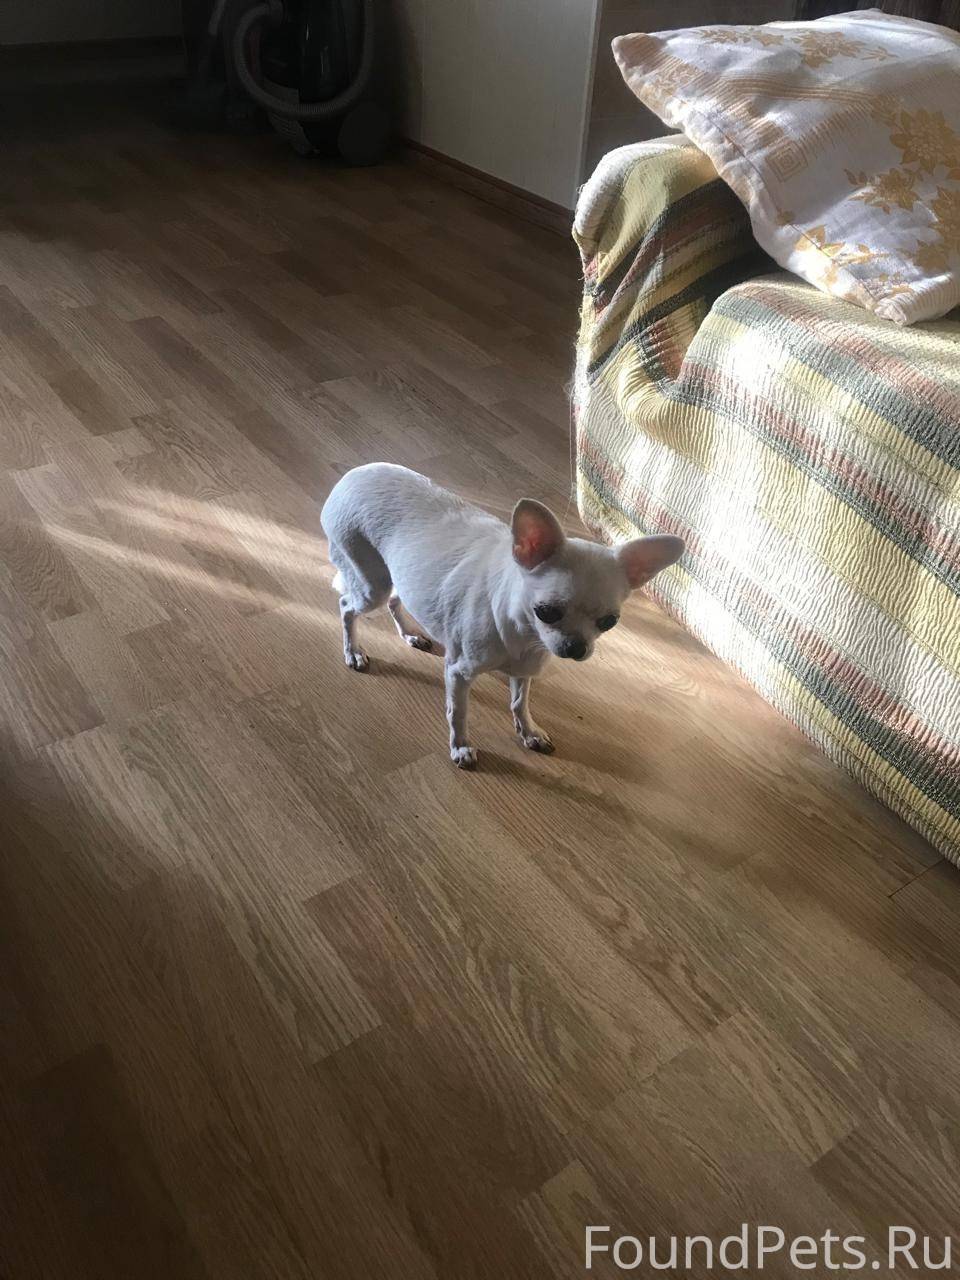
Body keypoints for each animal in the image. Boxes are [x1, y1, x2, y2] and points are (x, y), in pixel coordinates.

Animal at [321, 463, 684, 769]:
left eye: (609, 622)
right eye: (547, 612)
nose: (576, 647)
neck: (525, 637)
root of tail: (353, 474)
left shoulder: (525, 670)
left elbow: (519, 703)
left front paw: (529, 732)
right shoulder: (458, 673)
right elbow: (458, 712)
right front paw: (460, 747)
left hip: (395, 575)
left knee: (396, 599)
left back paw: (410, 633)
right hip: (371, 582)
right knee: (347, 605)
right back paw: (353, 651)